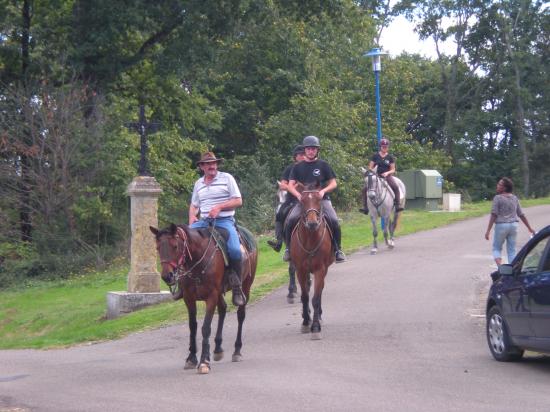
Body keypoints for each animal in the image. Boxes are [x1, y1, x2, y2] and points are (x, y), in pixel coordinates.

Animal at [151, 224, 258, 374]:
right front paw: (191, 358)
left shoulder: (211, 296)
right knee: (223, 309)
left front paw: (204, 362)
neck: (198, 260)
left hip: (246, 286)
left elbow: (206, 328)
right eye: (157, 247)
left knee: (240, 315)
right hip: (220, 293)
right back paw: (218, 349)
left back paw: (237, 351)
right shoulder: (189, 297)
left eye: (175, 246)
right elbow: (193, 326)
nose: (167, 276)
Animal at [288, 185, 336, 340]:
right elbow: (305, 296)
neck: (310, 239)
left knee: (319, 293)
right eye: (302, 201)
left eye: (319, 200)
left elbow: (315, 298)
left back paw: (318, 317)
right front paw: (305, 322)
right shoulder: (301, 270)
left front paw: (315, 327)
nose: (312, 223)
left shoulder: (320, 270)